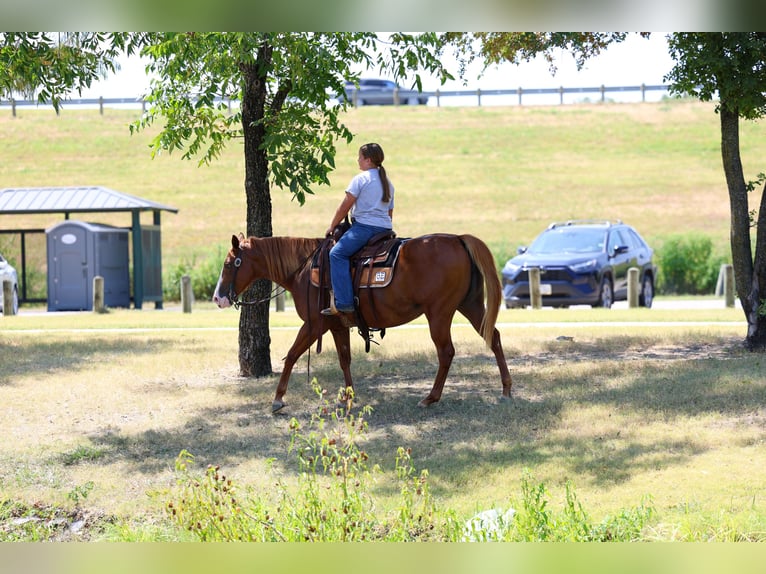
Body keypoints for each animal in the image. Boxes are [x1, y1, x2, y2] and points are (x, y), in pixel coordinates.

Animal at [213, 232, 512, 413]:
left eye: (230, 263)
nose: (217, 297)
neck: (304, 269)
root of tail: (458, 239)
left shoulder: (313, 325)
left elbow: (291, 356)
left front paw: (278, 399)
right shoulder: (336, 325)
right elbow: (344, 359)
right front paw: (349, 396)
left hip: (439, 314)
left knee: (446, 352)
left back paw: (431, 397)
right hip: (470, 305)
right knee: (494, 337)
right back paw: (506, 389)